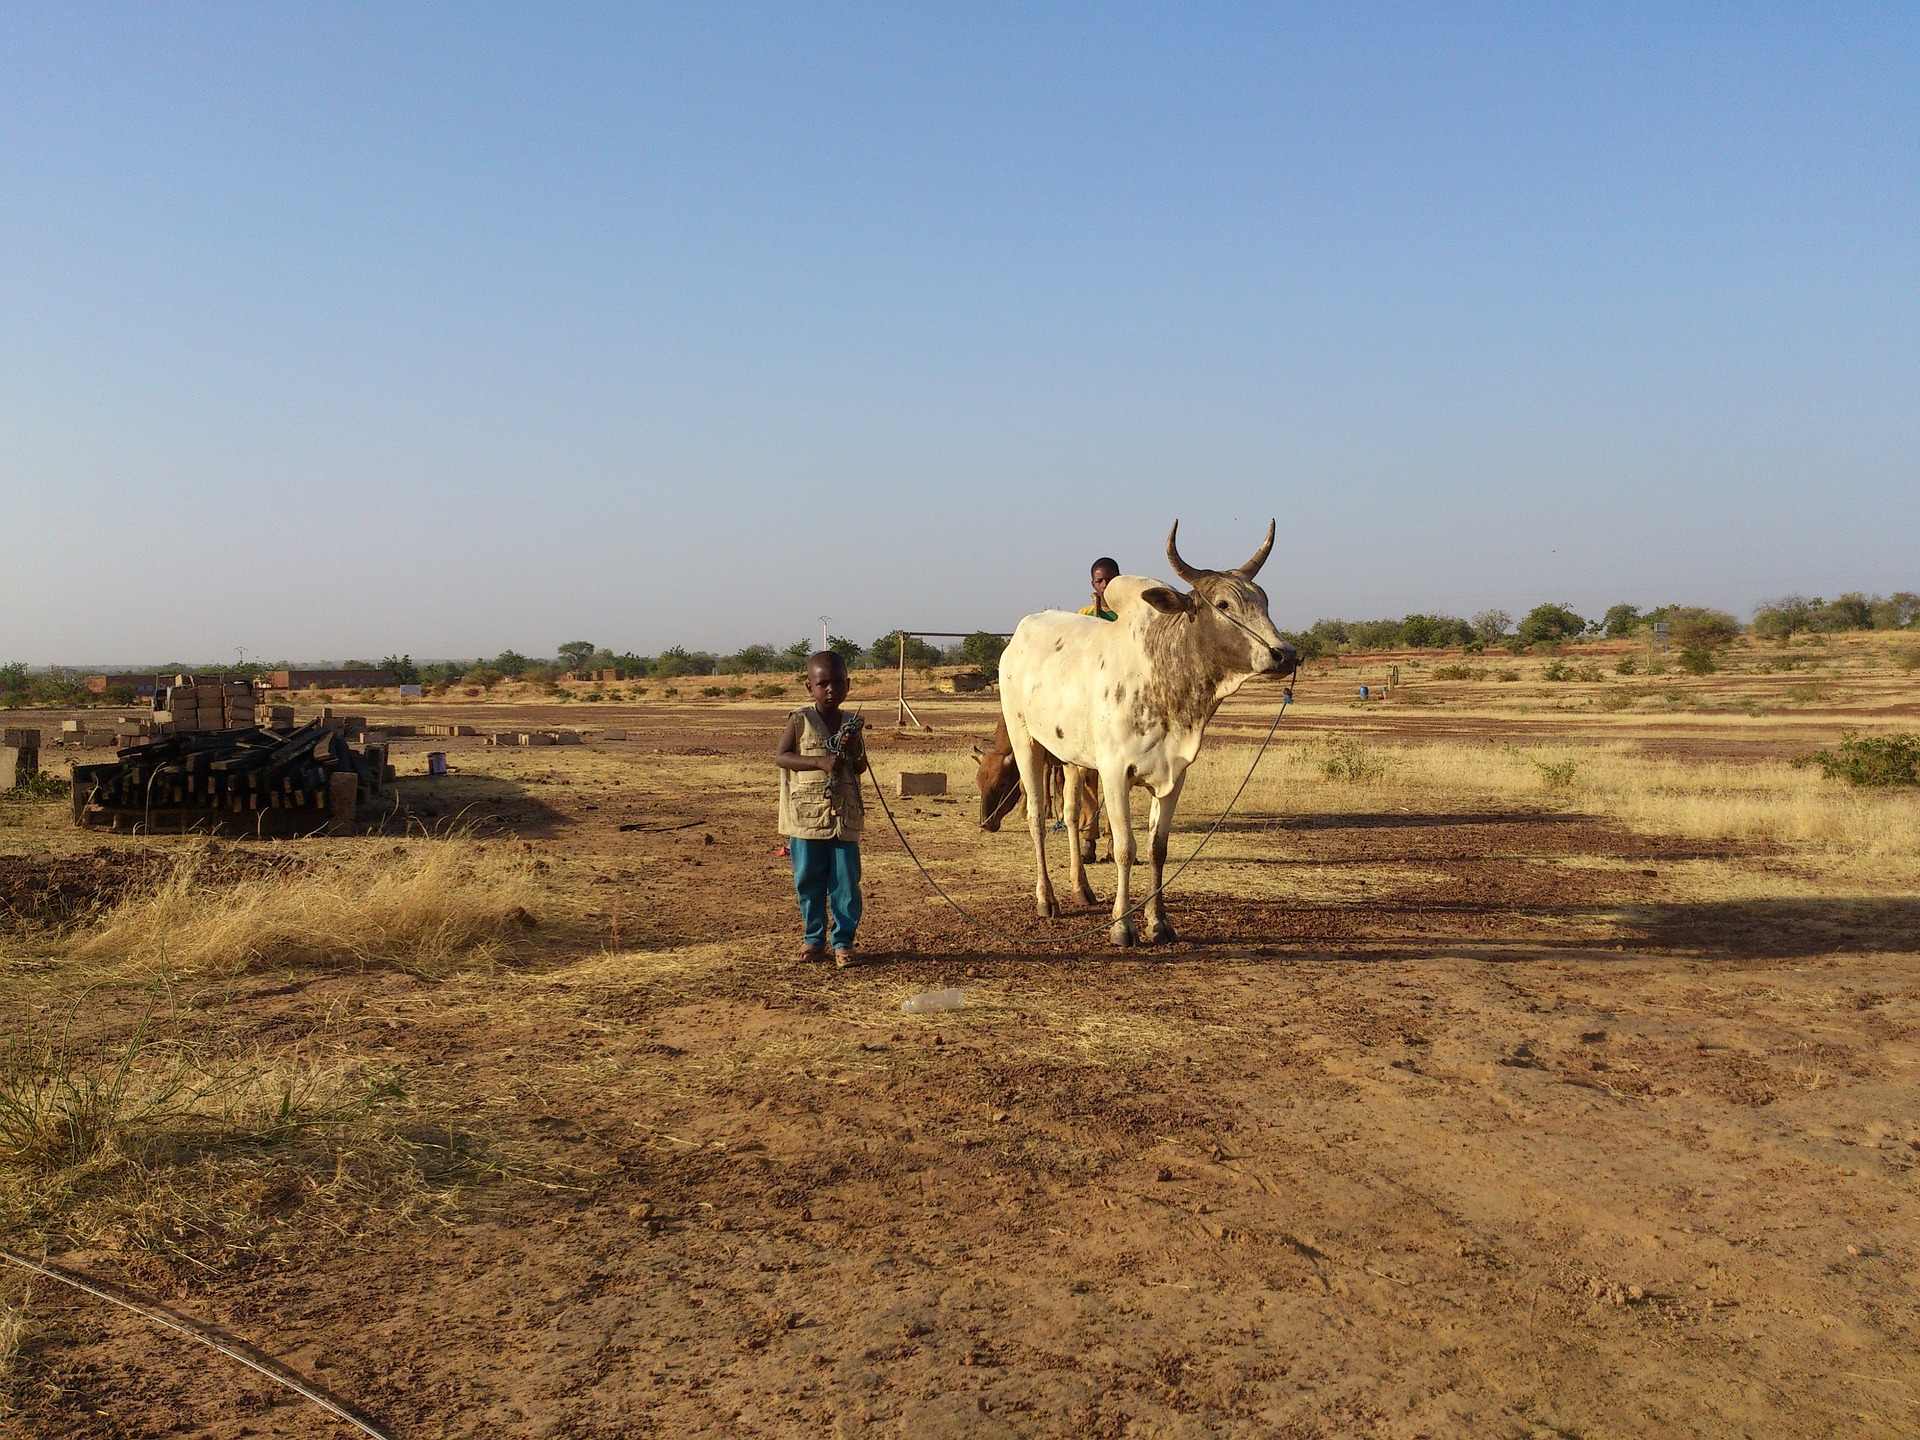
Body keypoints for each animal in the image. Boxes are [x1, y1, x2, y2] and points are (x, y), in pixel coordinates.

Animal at [998, 526, 1297, 952]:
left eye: (1265, 601)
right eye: (1224, 603)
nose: (1285, 654)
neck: (1164, 671)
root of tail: (1017, 637)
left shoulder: (1175, 775)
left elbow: (1158, 849)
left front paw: (1159, 922)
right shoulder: (1114, 773)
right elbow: (1125, 849)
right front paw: (1123, 926)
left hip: (1071, 757)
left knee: (1069, 816)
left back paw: (1081, 889)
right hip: (1025, 741)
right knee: (1037, 816)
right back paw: (1047, 899)